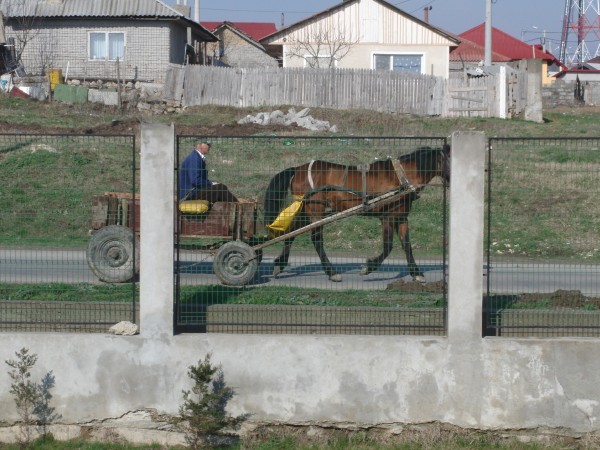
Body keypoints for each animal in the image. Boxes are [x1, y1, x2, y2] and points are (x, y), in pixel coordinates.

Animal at [262, 145, 450, 282]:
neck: (400, 177)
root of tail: (297, 170)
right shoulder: (387, 217)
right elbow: (388, 246)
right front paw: (368, 267)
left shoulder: (401, 217)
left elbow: (406, 245)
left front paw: (416, 273)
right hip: (315, 209)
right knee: (316, 238)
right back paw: (331, 272)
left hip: (306, 210)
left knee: (291, 233)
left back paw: (280, 264)